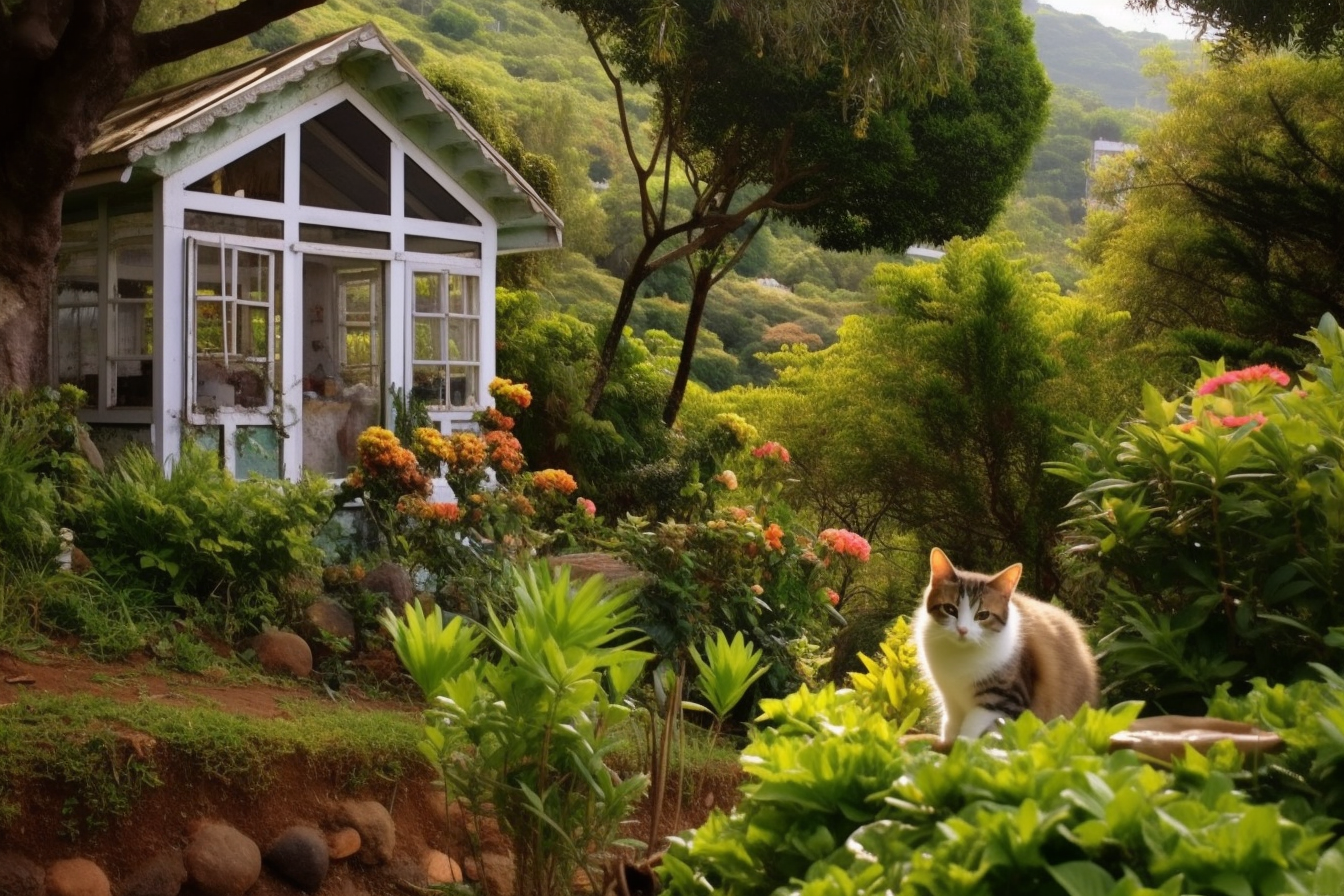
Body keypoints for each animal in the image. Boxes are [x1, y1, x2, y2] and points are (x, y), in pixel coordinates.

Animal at [908, 548, 1096, 741]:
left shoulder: (1003, 700)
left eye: (983, 615)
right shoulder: (951, 699)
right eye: (950, 609)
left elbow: (971, 733)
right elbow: (950, 727)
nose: (962, 630)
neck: (960, 655)